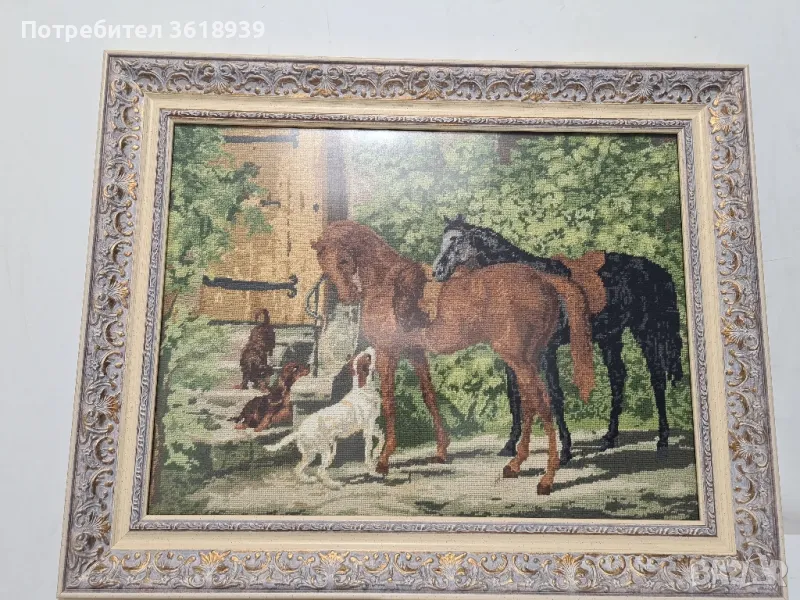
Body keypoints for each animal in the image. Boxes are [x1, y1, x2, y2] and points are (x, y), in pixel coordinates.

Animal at [264, 348, 384, 488]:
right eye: (368, 357)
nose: (371, 348)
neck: (363, 388)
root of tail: (299, 431)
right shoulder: (368, 428)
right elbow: (368, 451)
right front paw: (373, 468)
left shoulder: (372, 425)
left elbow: (382, 437)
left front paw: (376, 453)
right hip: (325, 450)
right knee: (319, 470)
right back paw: (333, 484)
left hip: (312, 453)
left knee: (300, 468)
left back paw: (308, 479)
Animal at [311, 220, 595, 495]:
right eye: (323, 261)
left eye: (343, 259)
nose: (348, 295)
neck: (387, 283)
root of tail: (543, 278)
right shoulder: (416, 353)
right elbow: (429, 395)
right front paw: (441, 450)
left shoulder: (386, 352)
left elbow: (389, 402)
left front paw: (383, 459)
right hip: (527, 360)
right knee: (530, 404)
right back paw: (515, 464)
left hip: (518, 359)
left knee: (543, 405)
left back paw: (547, 479)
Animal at [432, 215, 684, 462]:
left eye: (455, 240)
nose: (437, 272)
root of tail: (657, 270)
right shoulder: (512, 356)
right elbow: (515, 396)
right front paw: (510, 445)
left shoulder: (547, 351)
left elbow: (554, 396)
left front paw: (565, 450)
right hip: (611, 336)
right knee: (618, 378)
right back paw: (609, 437)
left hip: (647, 332)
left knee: (657, 378)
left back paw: (662, 441)